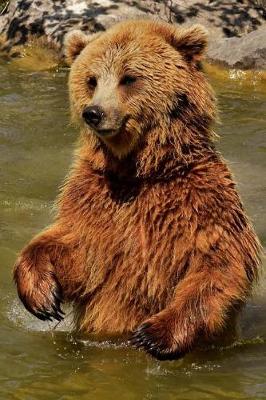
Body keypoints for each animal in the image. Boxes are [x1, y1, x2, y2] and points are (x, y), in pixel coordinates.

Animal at [13, 20, 260, 360]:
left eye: (128, 77)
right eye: (91, 79)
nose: (94, 112)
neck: (140, 172)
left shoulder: (201, 199)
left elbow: (217, 264)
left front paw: (154, 335)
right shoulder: (95, 197)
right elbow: (78, 250)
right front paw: (42, 297)